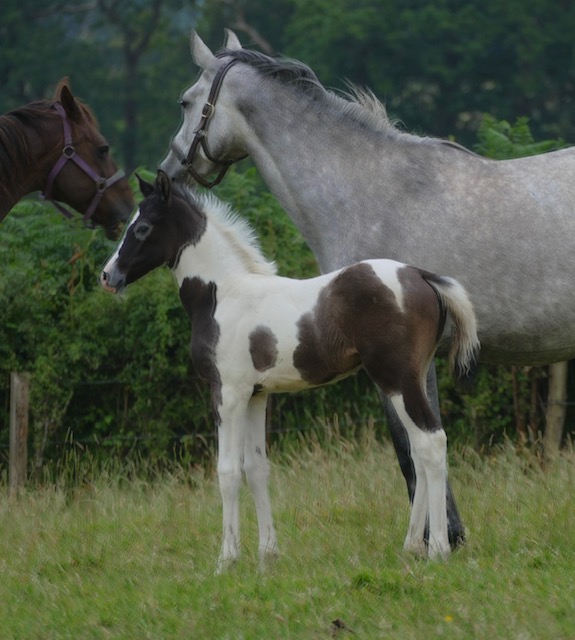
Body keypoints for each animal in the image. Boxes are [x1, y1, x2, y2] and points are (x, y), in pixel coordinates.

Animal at [100, 171, 479, 571]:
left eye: (142, 228)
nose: (108, 276)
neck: (223, 293)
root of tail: (420, 275)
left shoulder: (228, 393)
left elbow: (228, 471)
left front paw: (226, 559)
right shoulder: (256, 395)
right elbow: (256, 469)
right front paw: (268, 555)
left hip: (396, 379)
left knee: (430, 442)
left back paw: (437, 549)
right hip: (414, 376)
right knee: (418, 450)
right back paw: (411, 546)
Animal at [160, 29, 575, 546]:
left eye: (185, 101)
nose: (167, 172)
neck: (369, 191)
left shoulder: (405, 365)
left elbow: (413, 450)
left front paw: (440, 538)